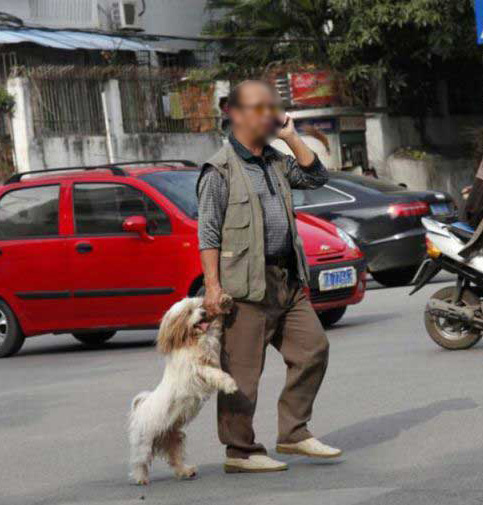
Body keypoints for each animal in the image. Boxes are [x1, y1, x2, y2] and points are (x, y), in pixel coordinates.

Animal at [129, 296, 238, 484]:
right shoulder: (197, 370)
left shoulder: (209, 343)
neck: (191, 340)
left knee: (175, 459)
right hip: (144, 440)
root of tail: (140, 407)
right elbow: (214, 373)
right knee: (140, 460)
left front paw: (223, 303)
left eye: (199, 306)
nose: (203, 313)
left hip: (173, 437)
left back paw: (185, 471)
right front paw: (230, 384)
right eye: (189, 312)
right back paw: (141, 478)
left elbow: (215, 329)